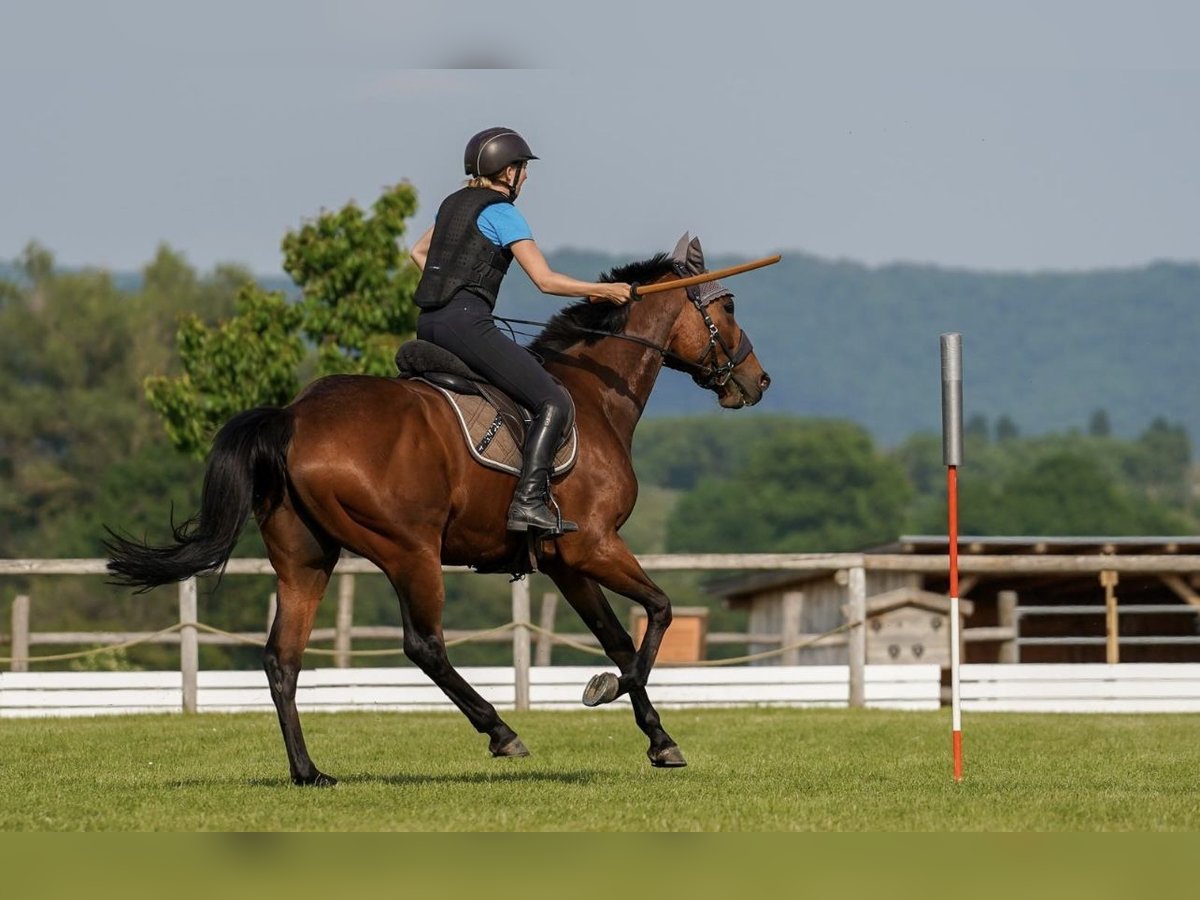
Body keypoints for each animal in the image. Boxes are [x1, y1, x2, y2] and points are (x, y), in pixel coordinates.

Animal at [108, 236, 772, 787]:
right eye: (729, 306)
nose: (757, 381)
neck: (594, 396)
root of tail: (292, 416)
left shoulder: (568, 563)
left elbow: (616, 637)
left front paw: (660, 739)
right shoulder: (595, 546)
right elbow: (655, 614)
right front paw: (607, 690)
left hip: (306, 559)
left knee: (282, 660)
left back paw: (309, 772)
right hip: (410, 551)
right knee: (423, 645)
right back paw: (501, 731)